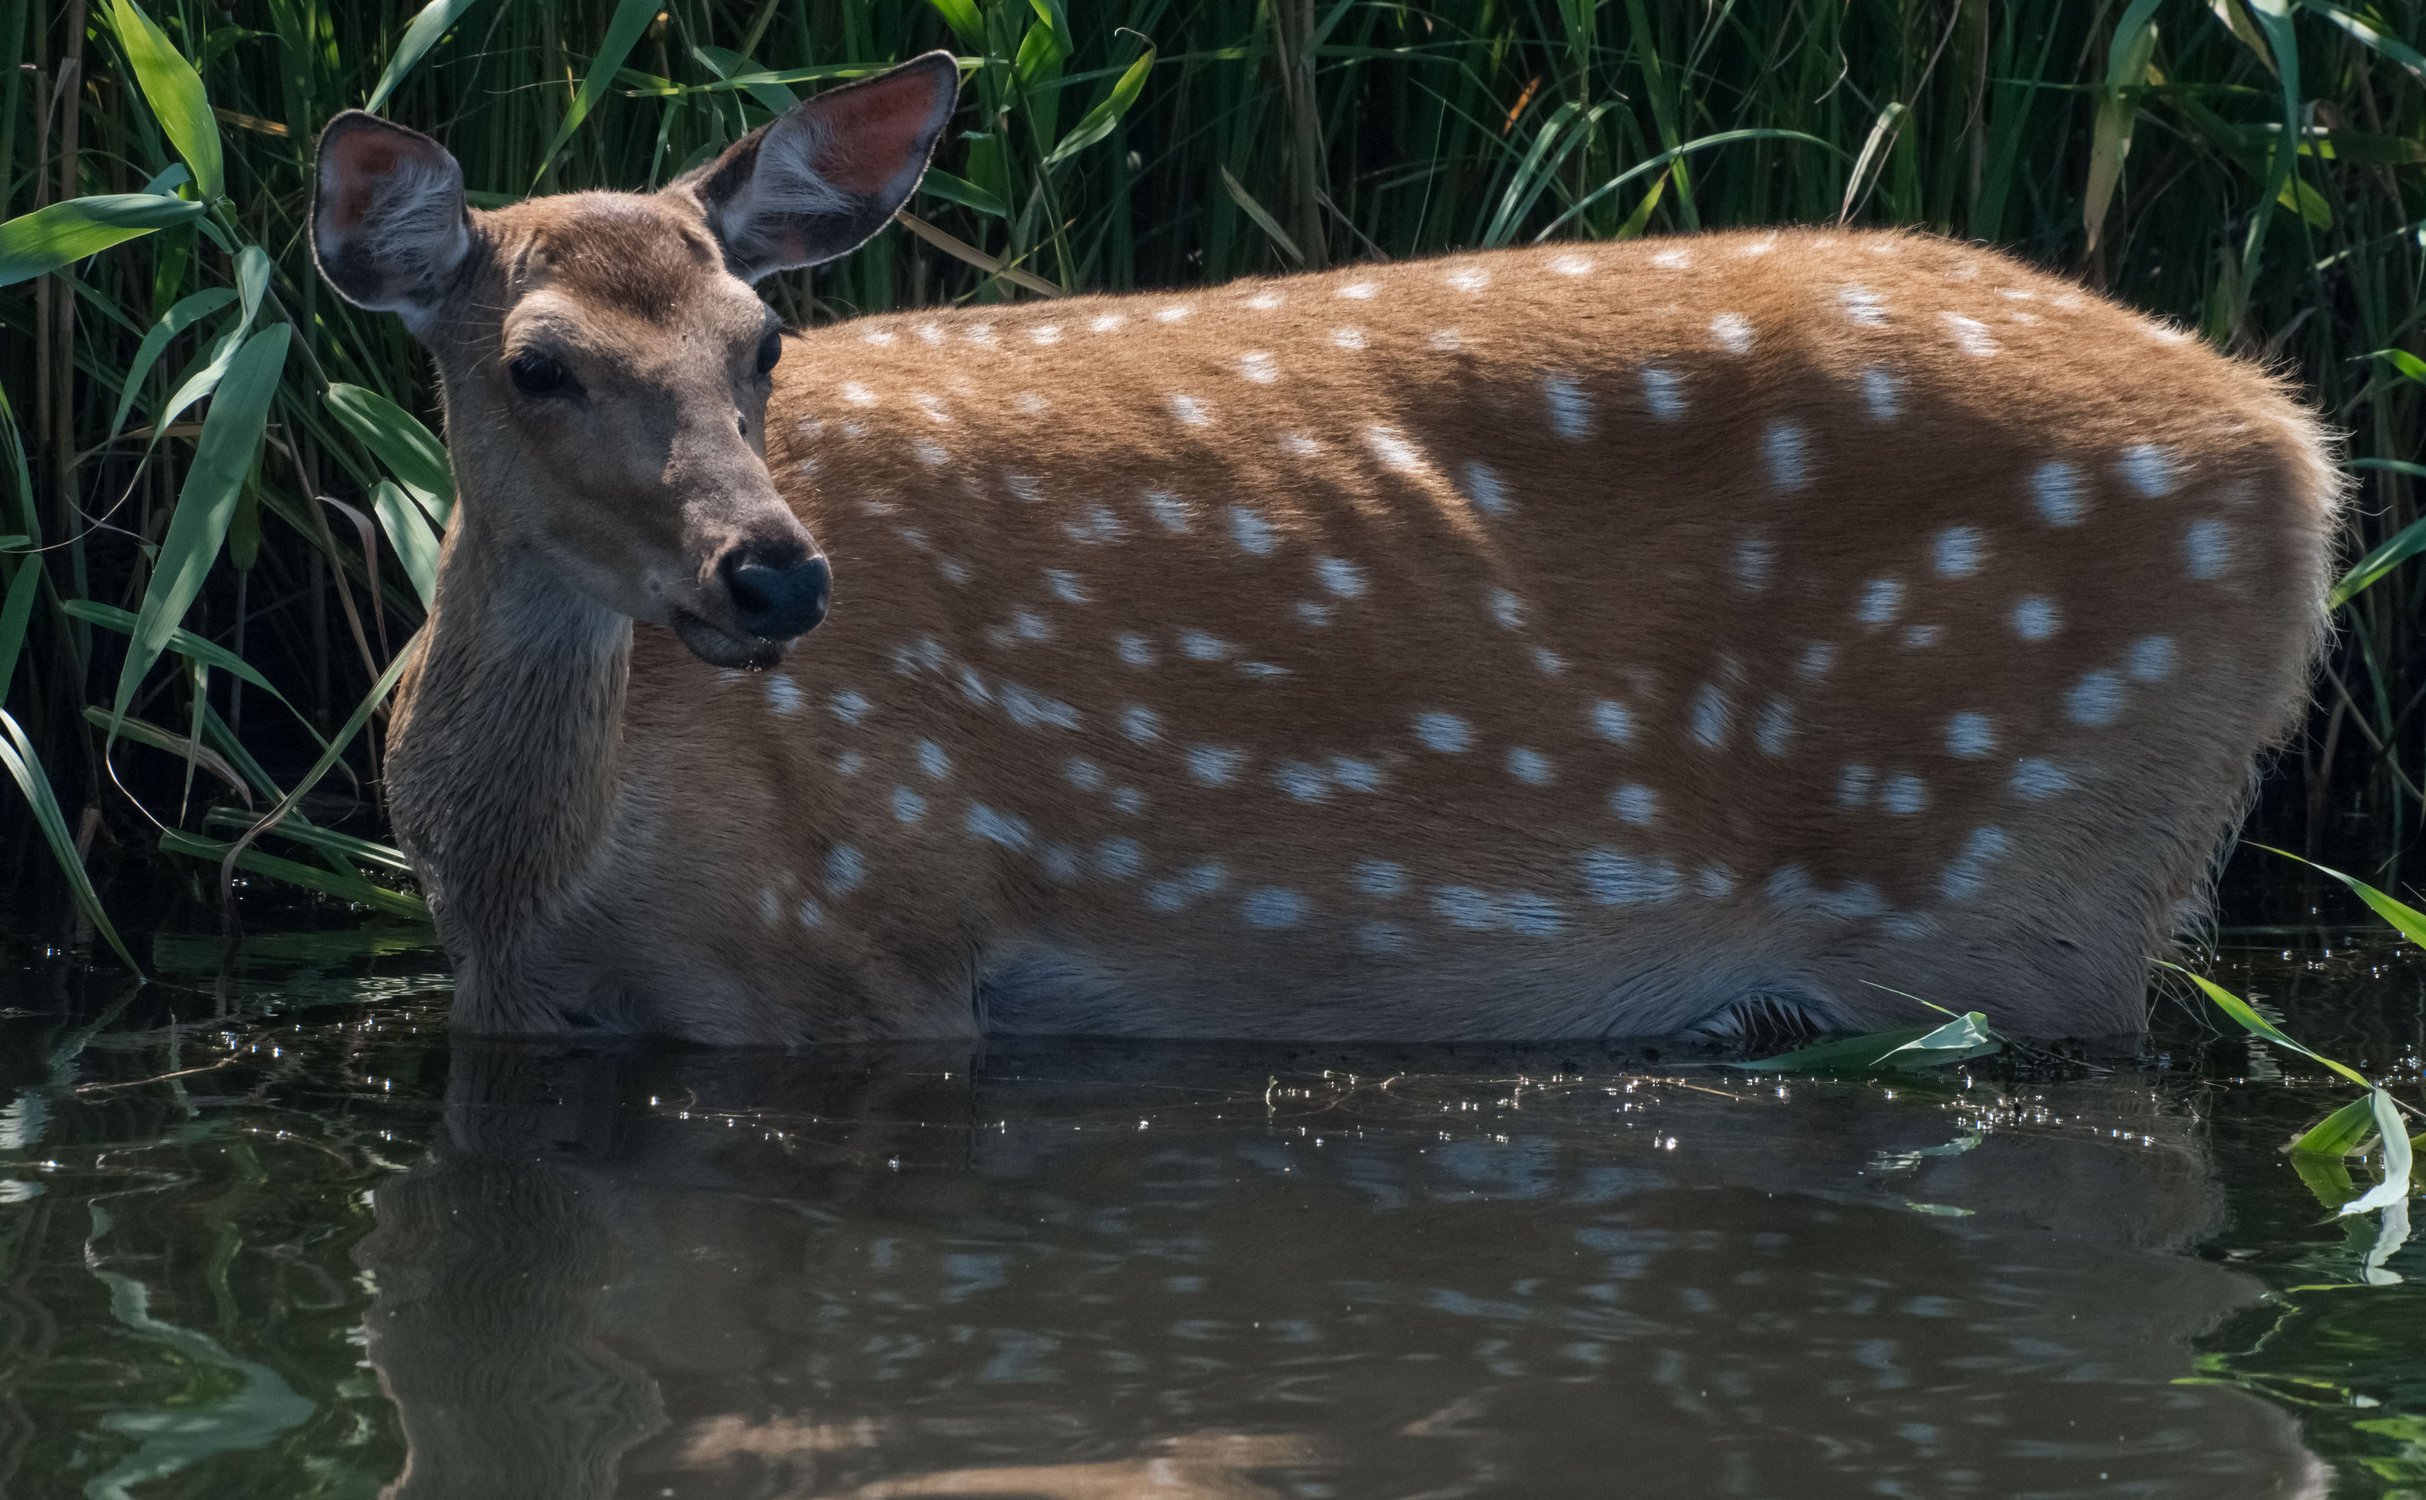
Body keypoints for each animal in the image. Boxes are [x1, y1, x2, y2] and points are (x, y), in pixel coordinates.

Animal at [312, 55, 2338, 1038]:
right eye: (536, 362)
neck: (532, 872)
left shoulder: (859, 949)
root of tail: (2296, 454)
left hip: (2026, 898)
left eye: (763, 341)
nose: (776, 574)